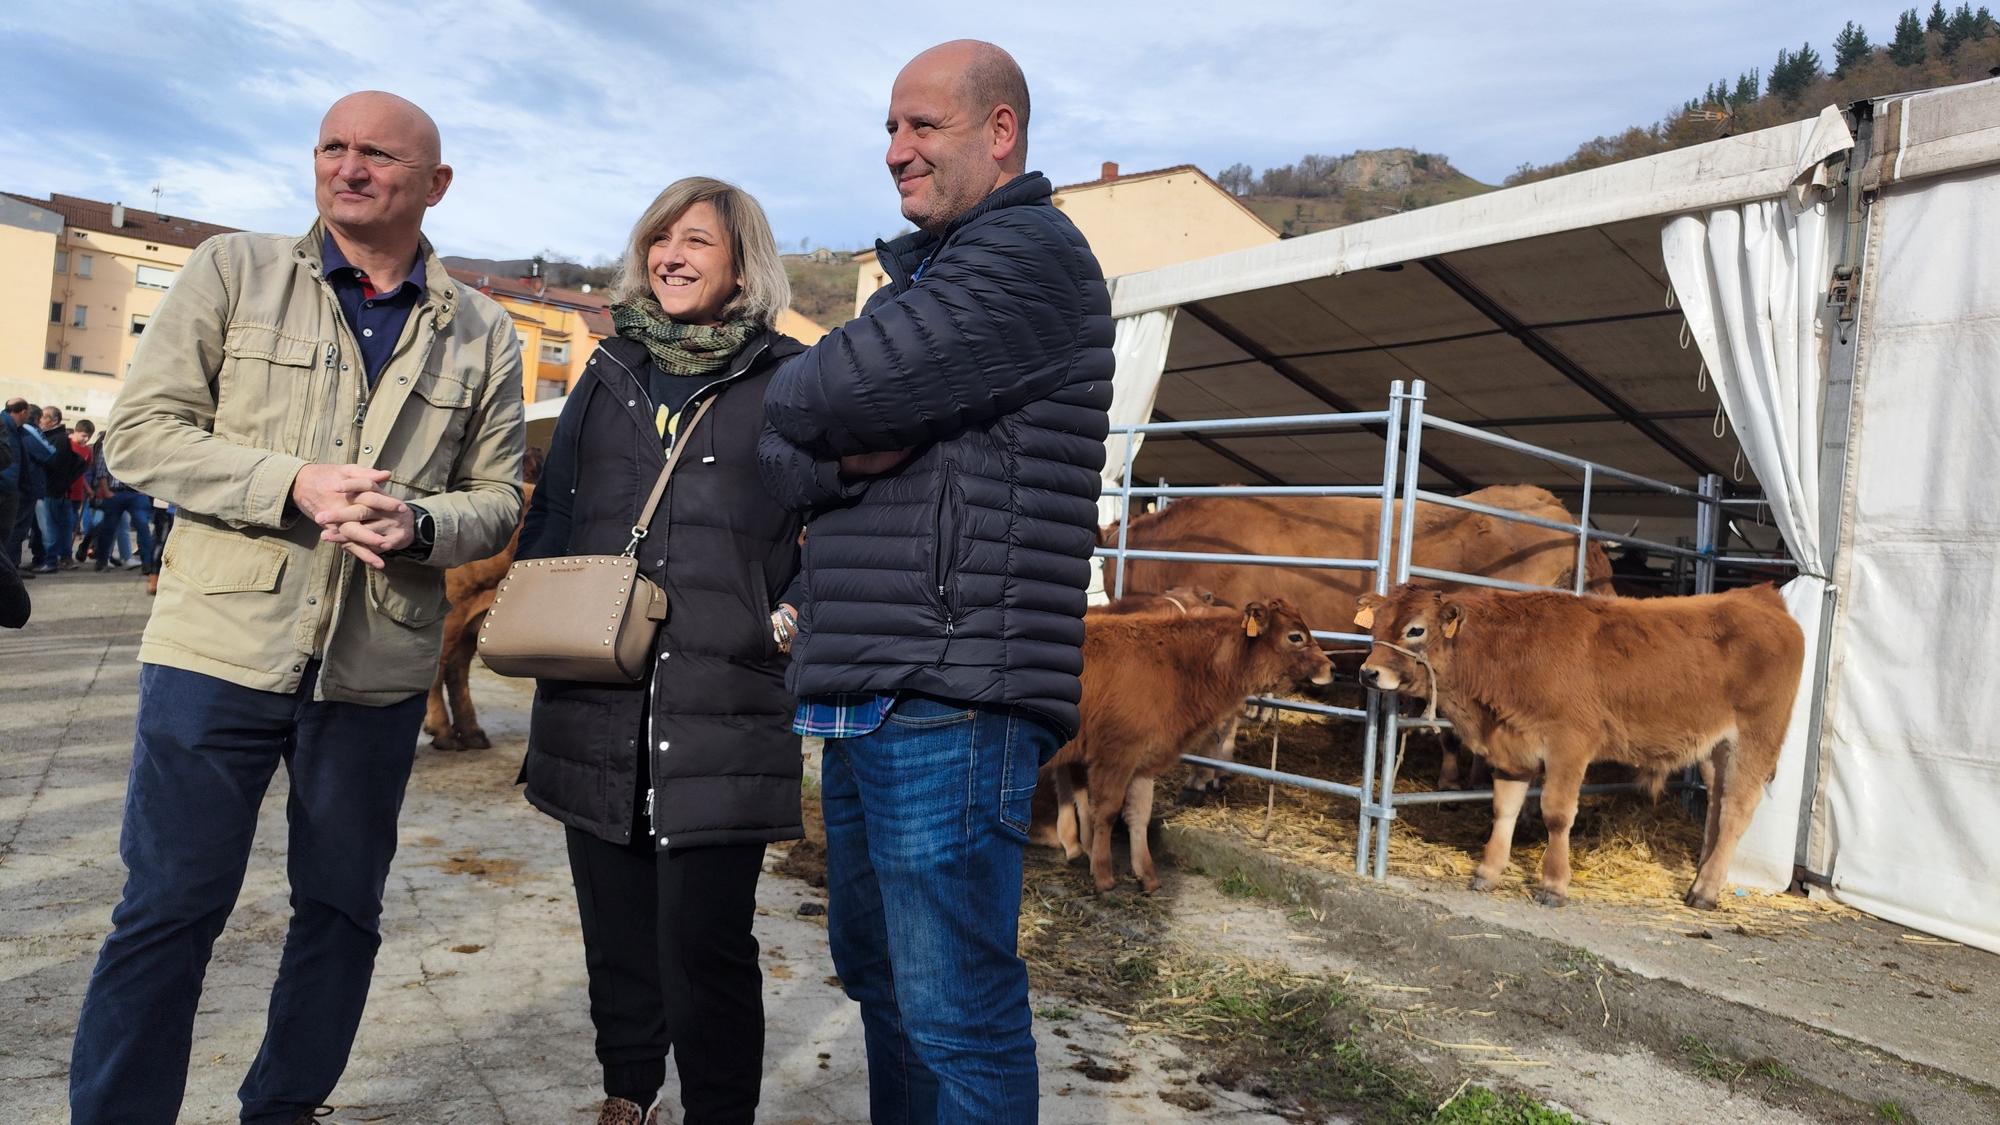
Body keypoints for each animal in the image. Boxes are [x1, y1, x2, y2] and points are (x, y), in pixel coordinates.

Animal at [1048, 596, 1328, 892]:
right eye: (1295, 636)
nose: (1330, 667)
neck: (1177, 662)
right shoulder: (1116, 754)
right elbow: (1106, 811)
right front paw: (1103, 874)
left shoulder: (1145, 759)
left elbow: (1139, 813)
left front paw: (1147, 875)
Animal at [1352, 580, 1808, 904]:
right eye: (1376, 625)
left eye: (1416, 629)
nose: (1368, 673)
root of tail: (1758, 598)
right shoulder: (1512, 748)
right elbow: (1504, 809)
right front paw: (1488, 872)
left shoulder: (1569, 743)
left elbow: (1556, 814)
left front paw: (1553, 884)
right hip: (1715, 747)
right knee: (1716, 805)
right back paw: (1701, 876)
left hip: (1757, 737)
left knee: (1736, 810)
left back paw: (1705, 892)